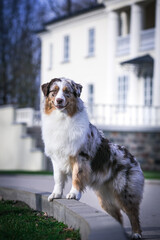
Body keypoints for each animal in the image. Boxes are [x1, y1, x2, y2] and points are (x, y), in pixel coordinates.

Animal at [41, 78, 144, 239]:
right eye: (54, 91)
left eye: (67, 91)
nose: (59, 100)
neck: (62, 118)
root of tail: (133, 158)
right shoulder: (57, 159)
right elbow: (58, 179)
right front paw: (56, 195)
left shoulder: (80, 157)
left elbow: (76, 176)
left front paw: (73, 194)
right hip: (105, 198)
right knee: (118, 216)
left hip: (125, 191)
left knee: (133, 213)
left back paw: (136, 233)